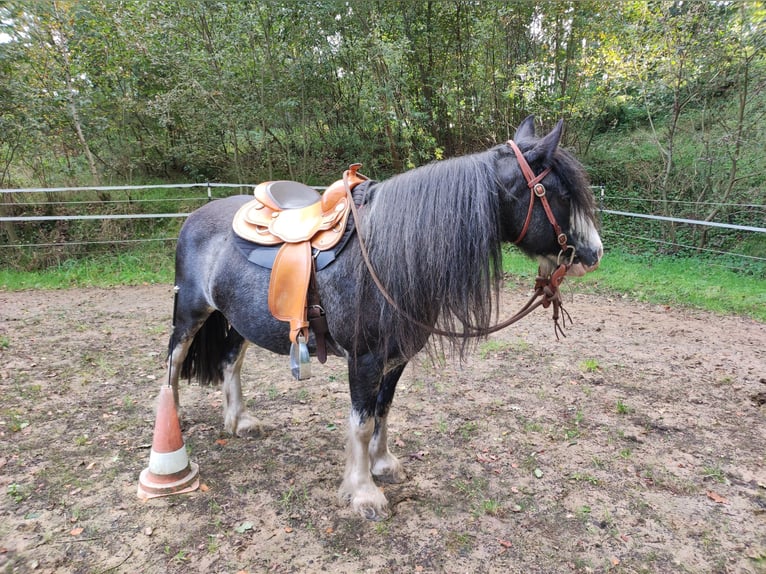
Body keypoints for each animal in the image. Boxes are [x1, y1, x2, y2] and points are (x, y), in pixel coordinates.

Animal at [168, 117, 608, 520]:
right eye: (560, 193)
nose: (595, 254)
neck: (386, 254)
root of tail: (195, 216)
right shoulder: (363, 359)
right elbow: (362, 423)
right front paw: (364, 493)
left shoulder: (396, 357)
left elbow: (384, 409)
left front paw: (383, 466)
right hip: (190, 312)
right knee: (174, 360)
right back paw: (173, 427)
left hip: (238, 320)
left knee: (231, 362)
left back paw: (240, 421)